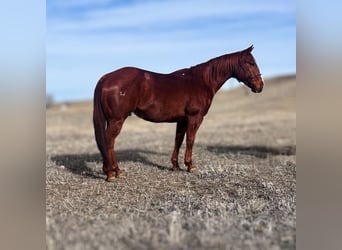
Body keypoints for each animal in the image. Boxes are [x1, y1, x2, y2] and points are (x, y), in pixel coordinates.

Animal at [92, 45, 264, 182]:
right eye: (250, 63)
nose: (260, 86)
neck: (201, 81)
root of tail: (106, 78)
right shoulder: (195, 118)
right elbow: (190, 140)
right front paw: (190, 166)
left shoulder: (182, 120)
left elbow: (178, 140)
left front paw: (175, 166)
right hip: (117, 120)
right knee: (109, 142)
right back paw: (112, 173)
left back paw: (115, 171)